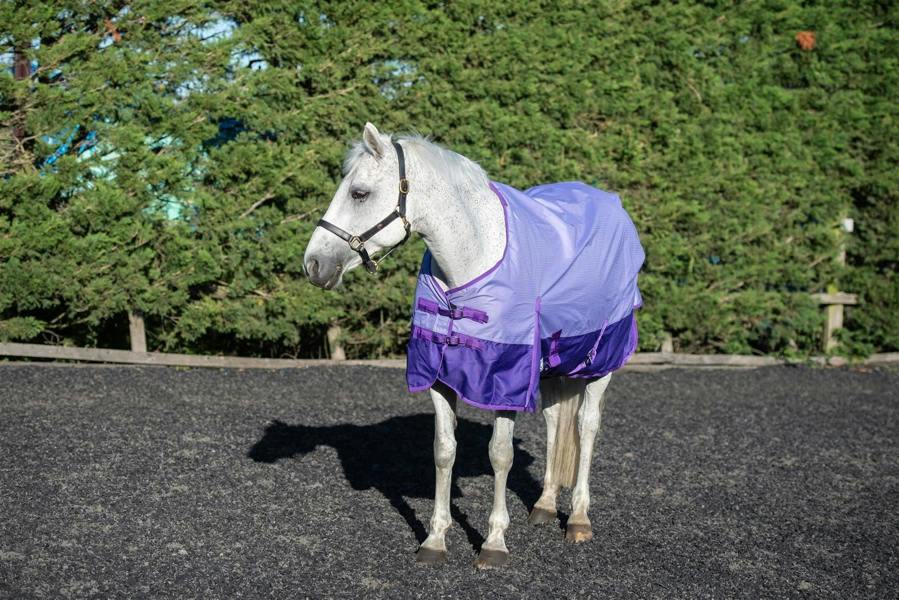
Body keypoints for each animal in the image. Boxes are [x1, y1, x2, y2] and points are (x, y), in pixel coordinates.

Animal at [303, 123, 643, 568]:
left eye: (359, 193)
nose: (312, 265)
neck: (473, 258)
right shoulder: (439, 377)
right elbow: (443, 450)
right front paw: (435, 539)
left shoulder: (506, 381)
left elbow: (500, 454)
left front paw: (494, 542)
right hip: (554, 362)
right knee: (555, 421)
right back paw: (545, 505)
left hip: (600, 359)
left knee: (587, 426)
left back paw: (578, 520)